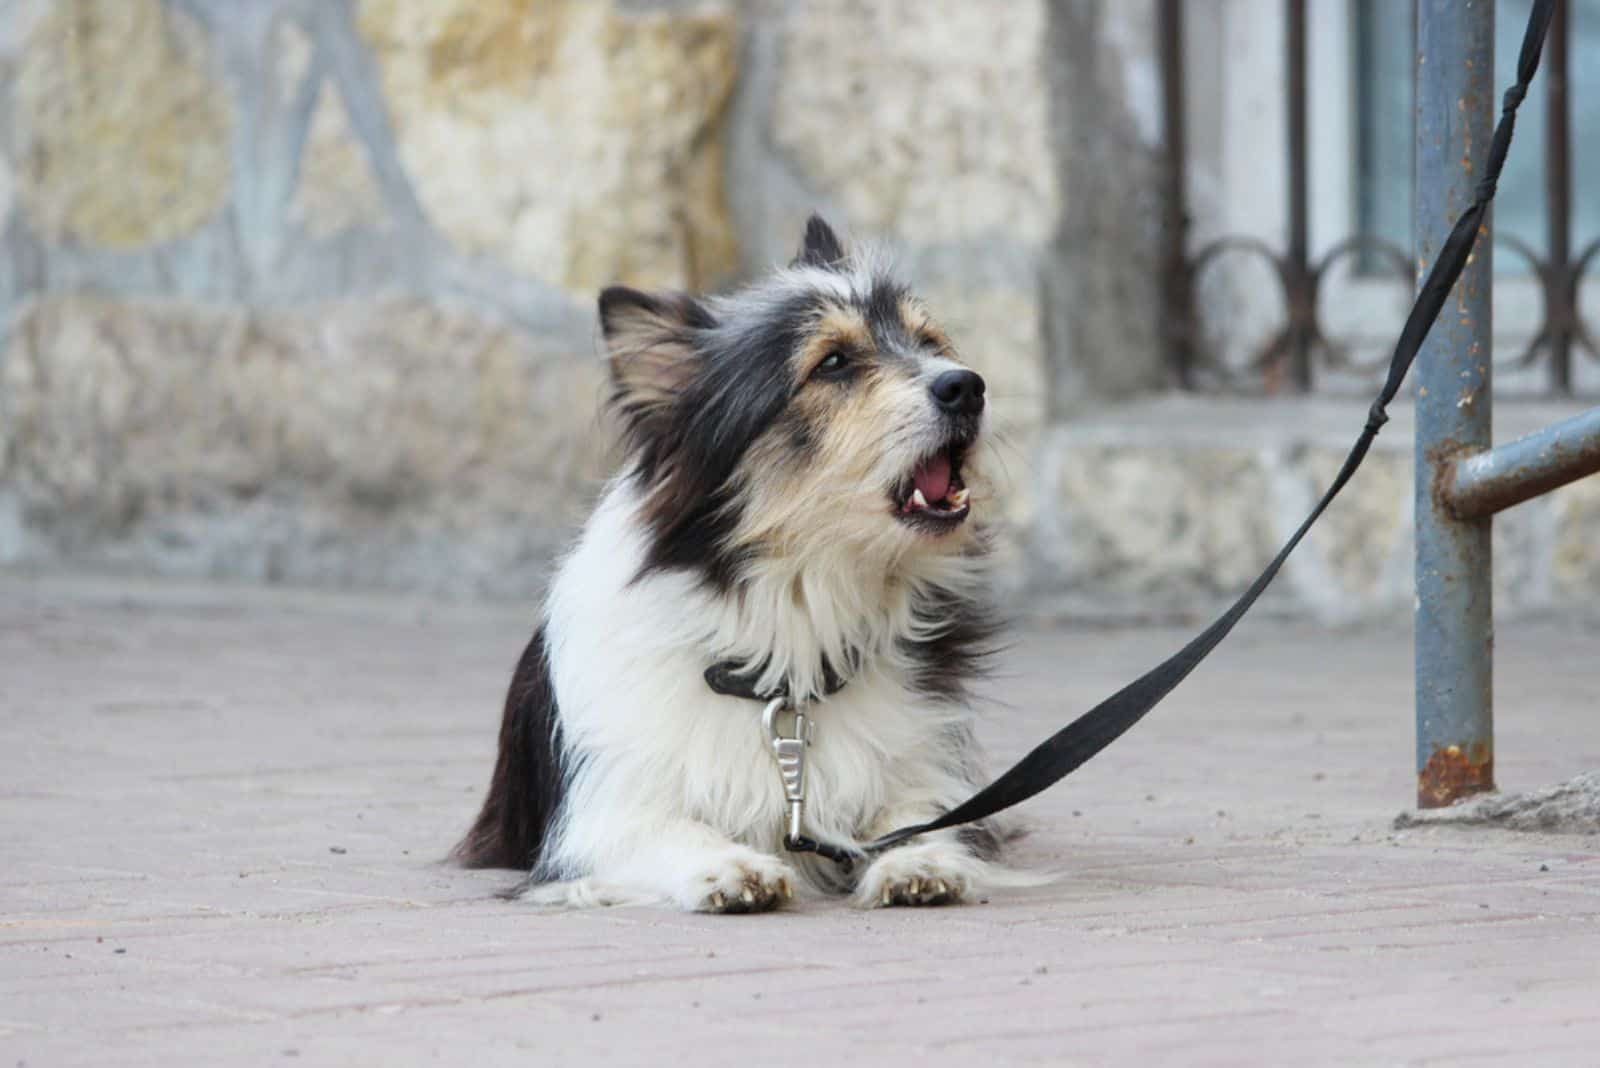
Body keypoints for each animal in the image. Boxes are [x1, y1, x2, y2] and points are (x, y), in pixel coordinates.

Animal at [454, 214, 1024, 908]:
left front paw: (919, 863)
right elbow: (673, 829)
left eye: (931, 341)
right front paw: (729, 867)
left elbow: (918, 819)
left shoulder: (925, 769)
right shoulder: (598, 820)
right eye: (833, 363)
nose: (967, 384)